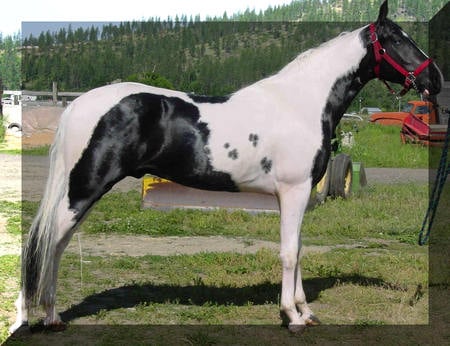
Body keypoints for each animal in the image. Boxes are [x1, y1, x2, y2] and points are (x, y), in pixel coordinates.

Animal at [10, 0, 442, 336]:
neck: (299, 103)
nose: (435, 80)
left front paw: (305, 311)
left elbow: (299, 249)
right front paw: (292, 317)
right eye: (397, 38)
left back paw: (51, 316)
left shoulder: (296, 195)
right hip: (84, 188)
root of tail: (79, 105)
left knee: (56, 244)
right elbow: (289, 253)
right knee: (45, 243)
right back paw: (32, 318)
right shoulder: (295, 190)